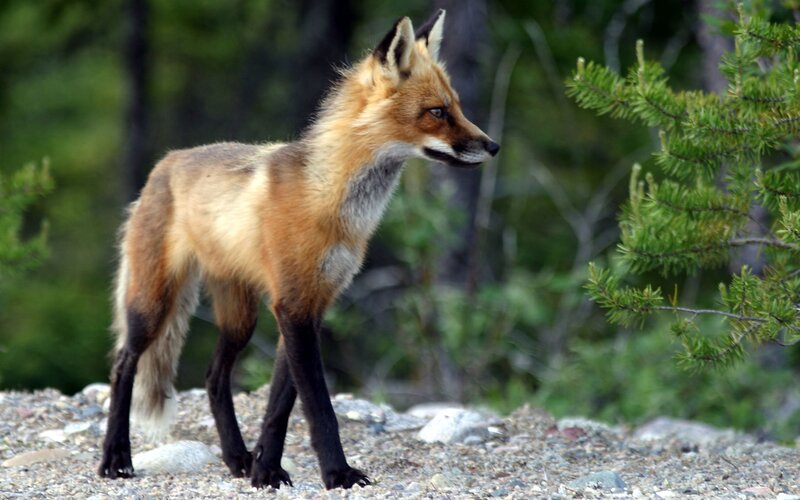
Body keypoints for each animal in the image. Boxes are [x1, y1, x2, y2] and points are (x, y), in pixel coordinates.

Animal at [98, 9, 499, 490]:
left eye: (457, 106)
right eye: (437, 112)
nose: (494, 146)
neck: (332, 203)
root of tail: (163, 163)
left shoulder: (313, 301)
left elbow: (280, 405)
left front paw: (265, 469)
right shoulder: (292, 304)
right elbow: (319, 407)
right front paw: (338, 473)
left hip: (240, 317)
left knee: (214, 378)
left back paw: (236, 459)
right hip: (153, 302)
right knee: (123, 364)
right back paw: (115, 457)